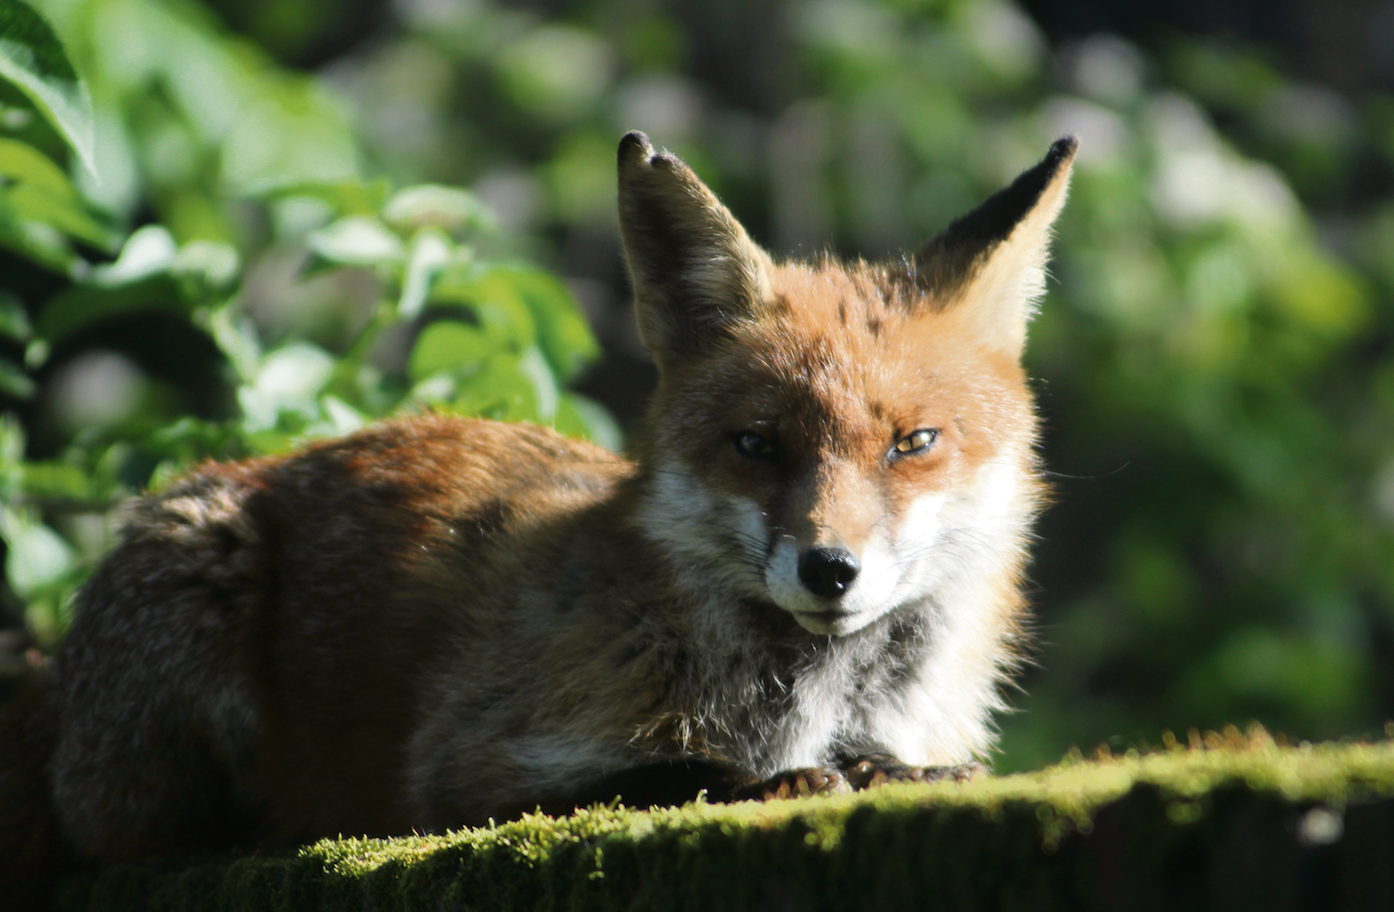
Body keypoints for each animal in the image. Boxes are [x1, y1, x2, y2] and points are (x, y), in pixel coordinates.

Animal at [0, 131, 1075, 904]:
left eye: (913, 442)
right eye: (757, 445)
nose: (831, 568)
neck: (807, 696)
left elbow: (907, 763)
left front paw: (900, 776)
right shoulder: (463, 768)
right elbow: (664, 773)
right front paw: (772, 782)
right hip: (185, 599)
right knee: (128, 838)